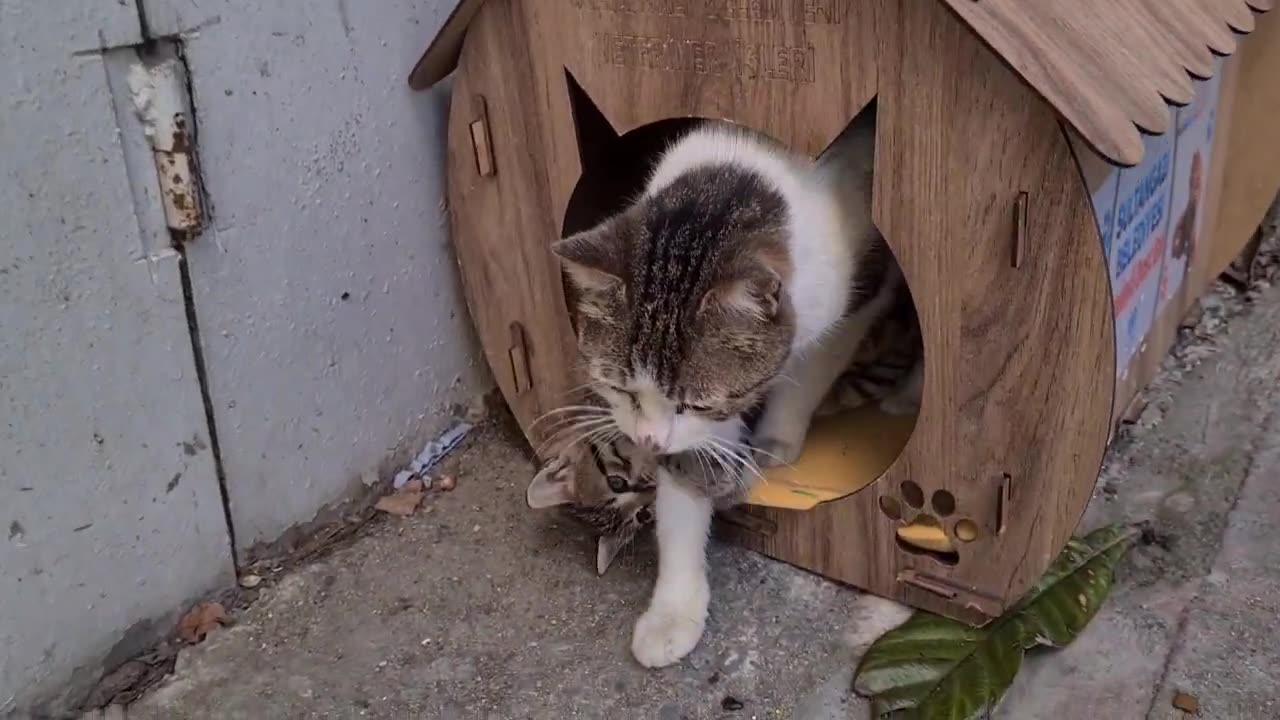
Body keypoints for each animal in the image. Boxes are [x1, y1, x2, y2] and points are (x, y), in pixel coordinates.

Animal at [552, 113, 901, 666]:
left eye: (694, 401)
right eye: (619, 389)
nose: (648, 442)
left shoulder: (863, 288)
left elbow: (811, 367)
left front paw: (777, 440)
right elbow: (681, 498)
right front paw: (673, 612)